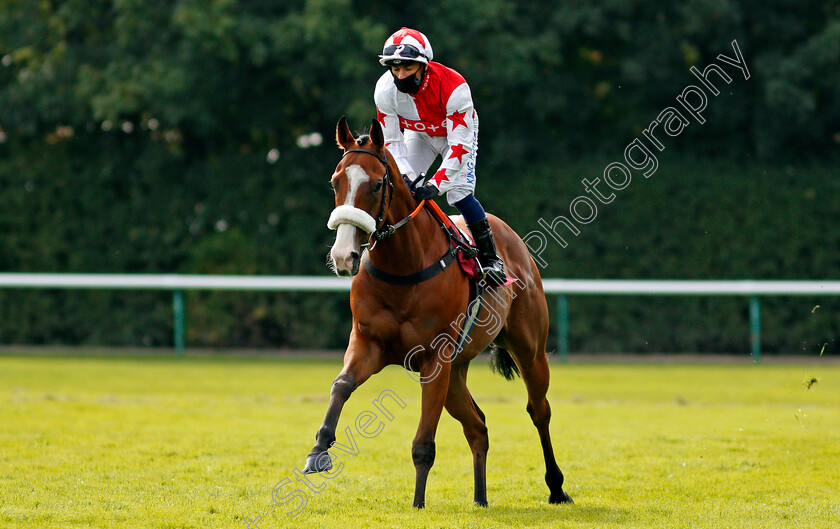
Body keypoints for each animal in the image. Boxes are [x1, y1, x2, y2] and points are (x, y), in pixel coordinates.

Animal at [302, 116, 572, 508]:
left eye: (377, 184)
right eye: (336, 181)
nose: (343, 255)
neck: (404, 266)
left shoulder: (435, 359)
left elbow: (423, 444)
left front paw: (417, 504)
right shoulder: (368, 342)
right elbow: (342, 385)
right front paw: (319, 451)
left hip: (528, 350)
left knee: (539, 410)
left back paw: (556, 487)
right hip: (457, 373)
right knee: (478, 425)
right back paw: (480, 498)